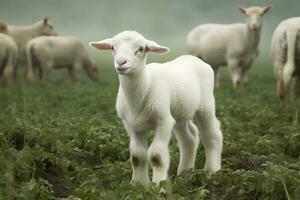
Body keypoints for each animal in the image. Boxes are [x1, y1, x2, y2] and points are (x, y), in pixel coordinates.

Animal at [89, 30, 223, 184]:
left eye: (141, 49)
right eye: (112, 47)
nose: (121, 62)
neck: (146, 85)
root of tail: (193, 58)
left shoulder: (163, 121)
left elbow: (156, 156)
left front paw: (159, 184)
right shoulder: (132, 125)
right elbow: (137, 156)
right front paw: (138, 184)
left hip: (206, 105)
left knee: (212, 135)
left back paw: (212, 170)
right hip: (178, 111)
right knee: (189, 137)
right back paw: (184, 173)